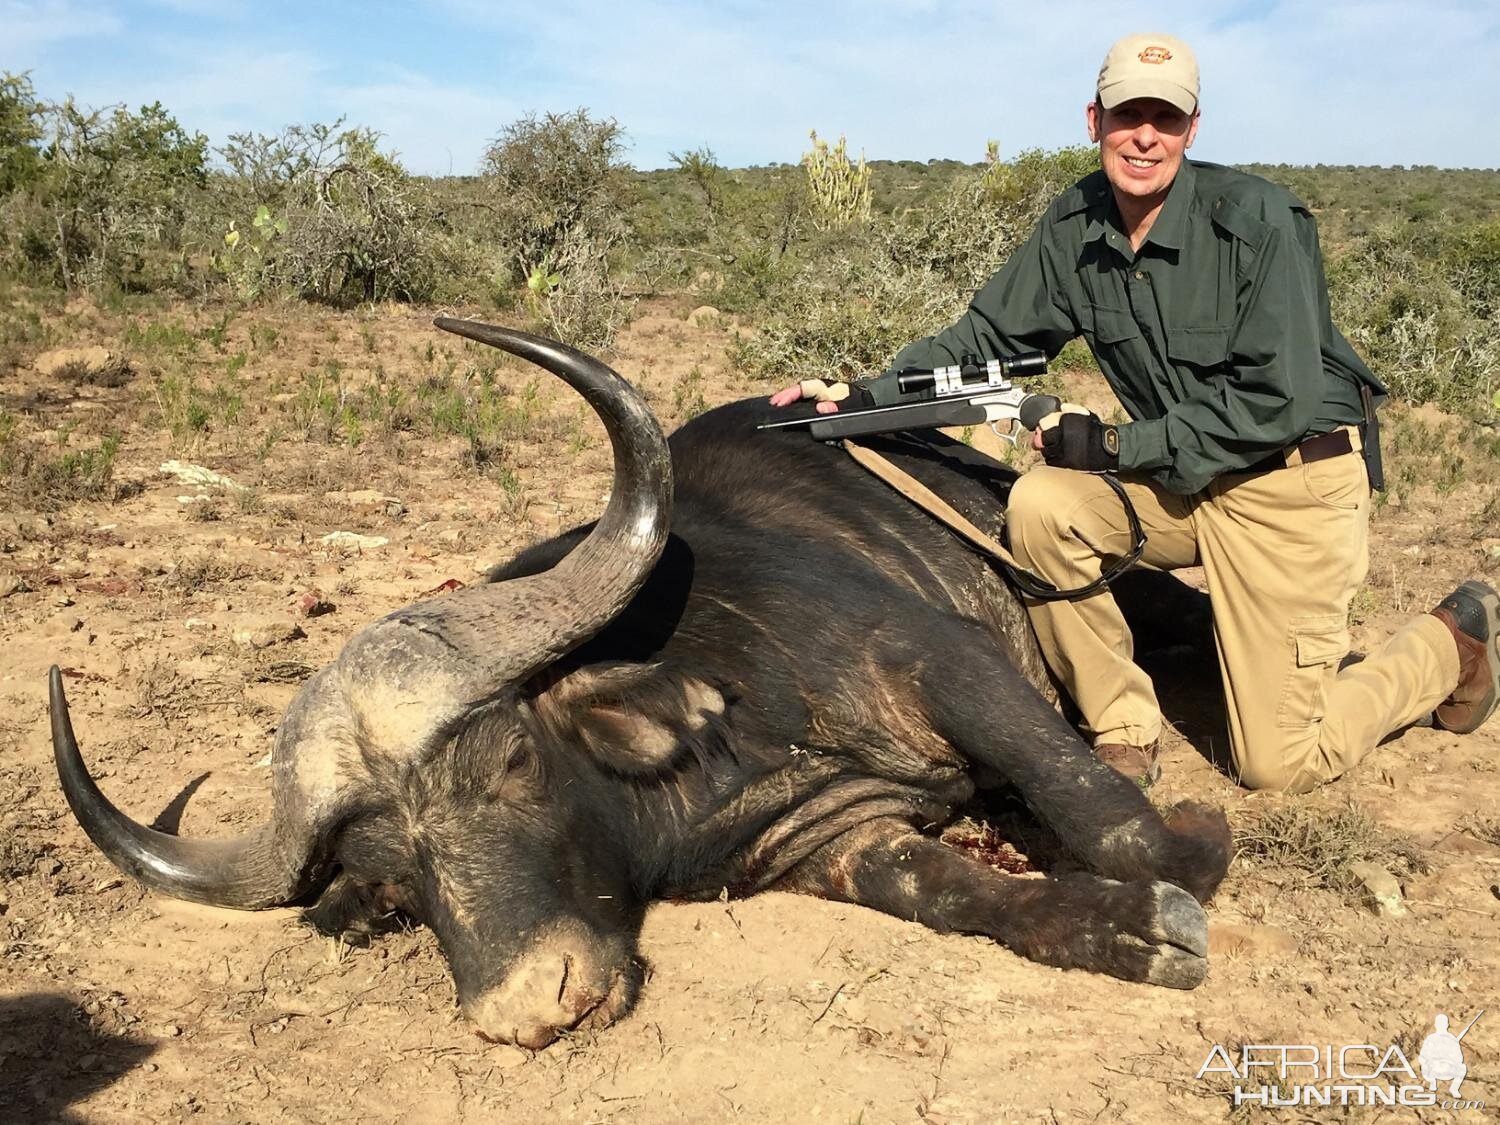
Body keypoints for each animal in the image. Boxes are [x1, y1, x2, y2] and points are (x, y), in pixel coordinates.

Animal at [55, 321, 1230, 1056]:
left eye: (511, 761)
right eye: (390, 875)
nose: (531, 1012)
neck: (718, 749)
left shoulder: (942, 658)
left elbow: (1104, 810)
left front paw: (1190, 849)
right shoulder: (835, 840)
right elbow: (960, 895)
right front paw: (1129, 931)